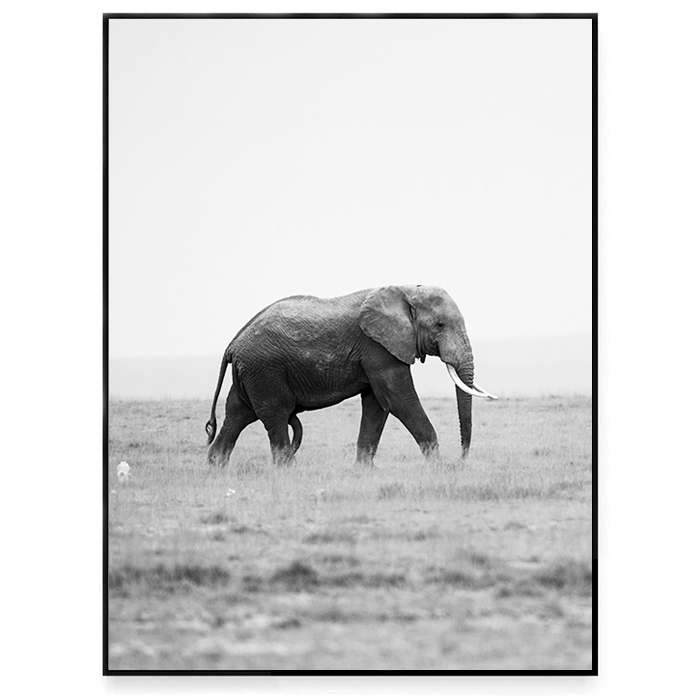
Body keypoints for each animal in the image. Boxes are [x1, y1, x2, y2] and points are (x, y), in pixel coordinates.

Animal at [205, 285, 497, 468]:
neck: (405, 289)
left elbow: (377, 405)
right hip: (265, 371)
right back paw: (289, 470)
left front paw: (365, 471)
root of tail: (232, 344)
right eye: (439, 325)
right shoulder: (378, 347)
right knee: (274, 415)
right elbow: (398, 400)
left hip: (251, 373)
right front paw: (439, 467)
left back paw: (216, 468)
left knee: (238, 414)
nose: (461, 459)